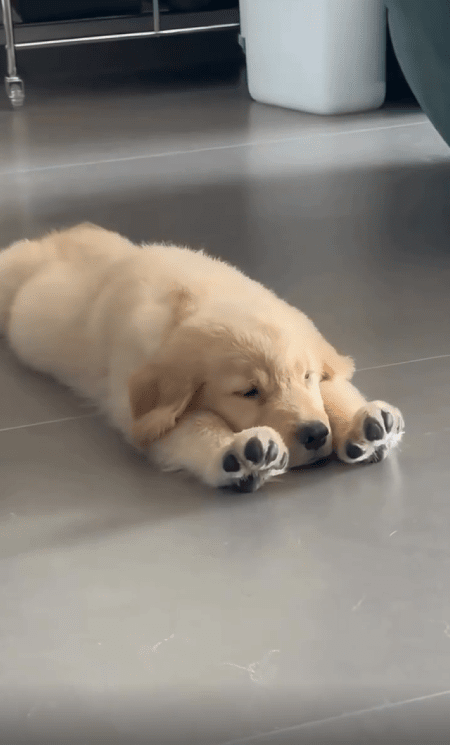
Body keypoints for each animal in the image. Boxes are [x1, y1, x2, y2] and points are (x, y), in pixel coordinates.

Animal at [0, 223, 404, 492]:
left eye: (306, 376)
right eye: (248, 392)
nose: (315, 434)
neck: (199, 298)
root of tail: (58, 234)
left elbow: (332, 388)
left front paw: (366, 423)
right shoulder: (144, 413)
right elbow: (195, 424)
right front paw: (239, 452)